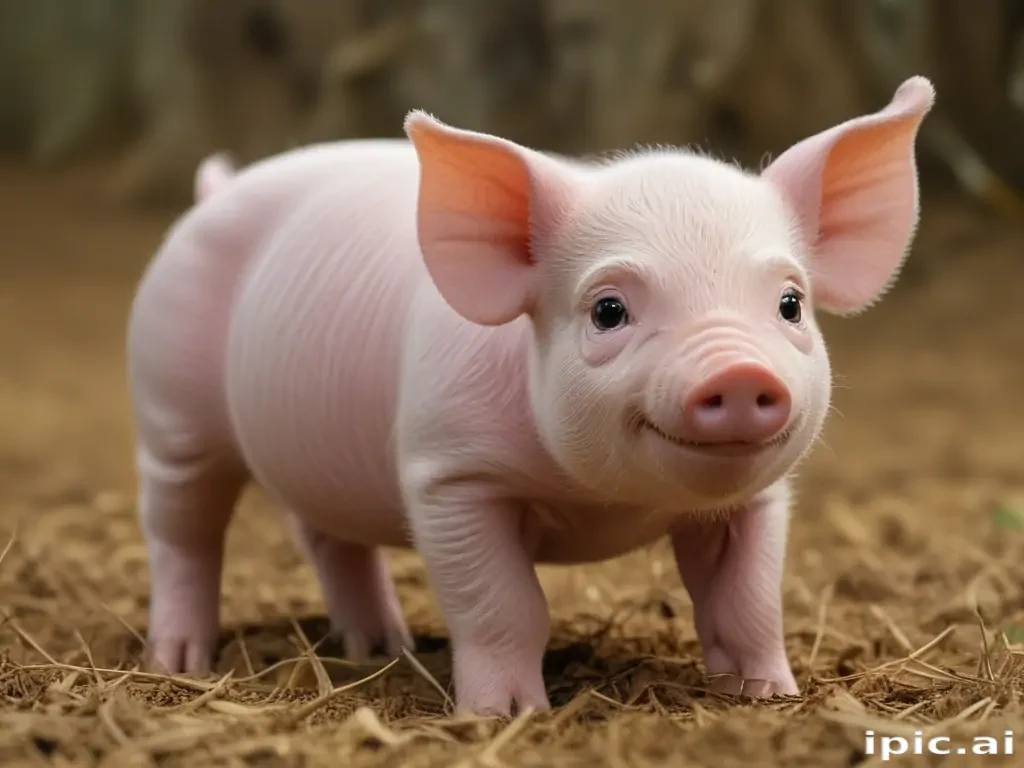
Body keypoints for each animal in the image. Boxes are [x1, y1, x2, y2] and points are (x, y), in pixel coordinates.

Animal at [126, 76, 935, 715]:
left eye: (791, 304)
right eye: (608, 310)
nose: (738, 371)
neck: (603, 502)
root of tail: (217, 191)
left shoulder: (758, 498)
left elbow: (750, 602)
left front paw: (770, 697)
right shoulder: (450, 476)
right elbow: (505, 607)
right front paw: (505, 716)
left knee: (327, 536)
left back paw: (379, 647)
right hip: (171, 410)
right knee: (182, 532)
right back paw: (180, 660)